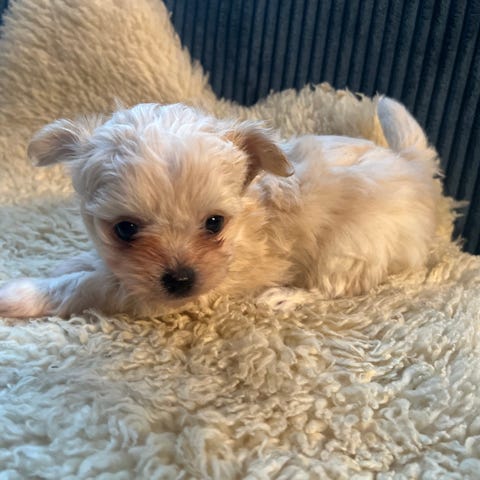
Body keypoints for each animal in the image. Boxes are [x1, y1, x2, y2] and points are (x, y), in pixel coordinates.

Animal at [0, 98, 442, 317]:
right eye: (124, 229)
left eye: (214, 223)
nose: (180, 281)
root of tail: (413, 168)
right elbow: (94, 266)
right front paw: (72, 261)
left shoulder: (151, 296)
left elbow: (86, 285)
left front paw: (21, 295)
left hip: (349, 248)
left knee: (335, 288)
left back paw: (285, 297)